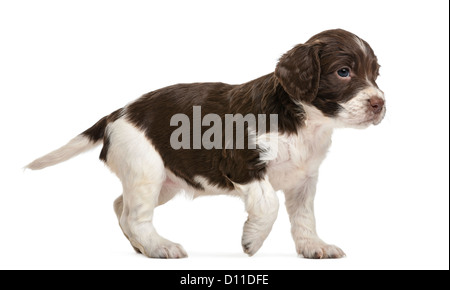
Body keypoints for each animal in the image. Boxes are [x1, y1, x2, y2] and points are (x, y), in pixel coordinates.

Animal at [27, 28, 386, 258]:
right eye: (343, 72)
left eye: (376, 74)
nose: (379, 103)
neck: (303, 121)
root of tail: (116, 114)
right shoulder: (242, 163)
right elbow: (268, 203)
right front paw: (252, 241)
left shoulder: (304, 180)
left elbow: (304, 217)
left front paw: (313, 246)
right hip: (146, 170)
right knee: (134, 215)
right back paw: (159, 247)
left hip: (164, 181)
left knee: (120, 205)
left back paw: (142, 246)